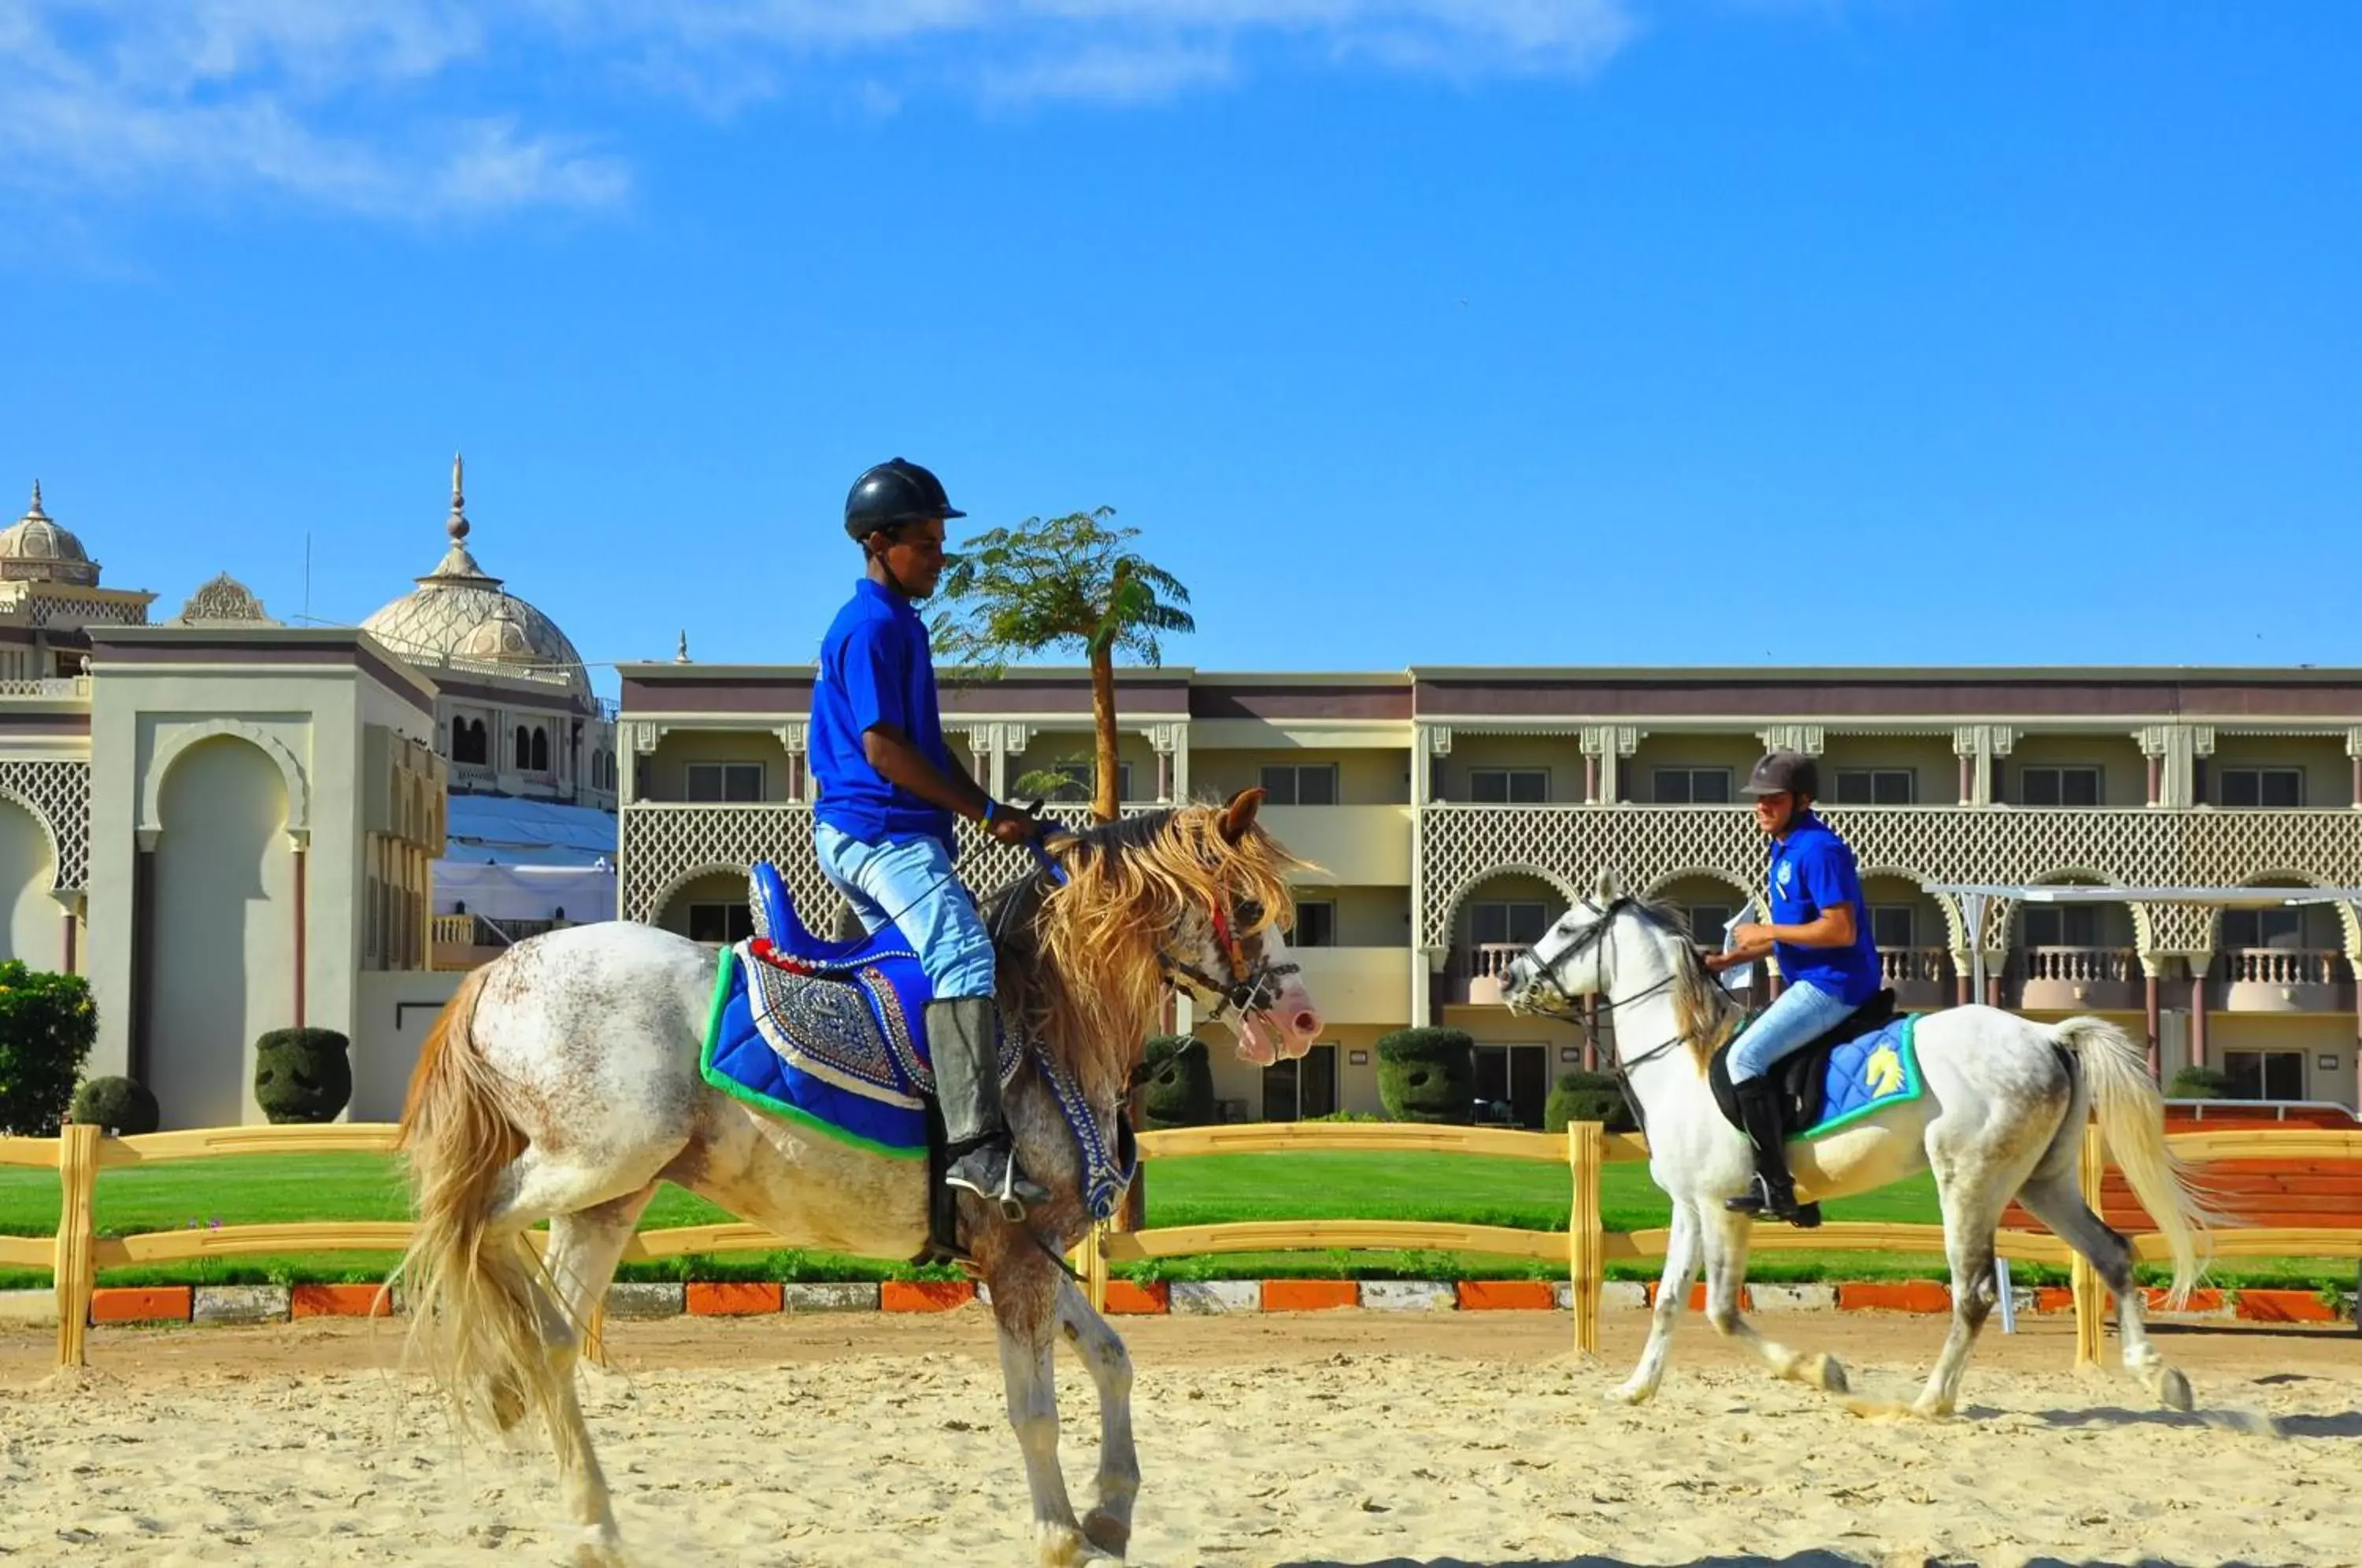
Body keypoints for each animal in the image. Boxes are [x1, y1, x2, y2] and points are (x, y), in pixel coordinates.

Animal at [385, 789, 1313, 1559]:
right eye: (1246, 906)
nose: (1304, 1019)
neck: (1050, 1009)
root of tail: (499, 969)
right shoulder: (1019, 1255)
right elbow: (1036, 1413)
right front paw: (1059, 1535)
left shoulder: (1028, 1247)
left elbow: (1113, 1357)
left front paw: (1110, 1511)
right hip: (596, 1161)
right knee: (466, 1222)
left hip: (610, 1195)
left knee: (548, 1327)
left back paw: (584, 1512)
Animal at [1493, 883, 2211, 1417]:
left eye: (1565, 927)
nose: (1507, 976)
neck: (1685, 1062)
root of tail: (2048, 1037)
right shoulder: (1690, 1208)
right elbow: (1670, 1300)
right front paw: (1636, 1388)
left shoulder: (1725, 1208)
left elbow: (1721, 1311)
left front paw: (1822, 1371)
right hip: (2043, 1182)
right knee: (2112, 1254)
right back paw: (2160, 1377)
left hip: (1969, 1183)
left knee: (1974, 1292)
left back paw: (1931, 1401)